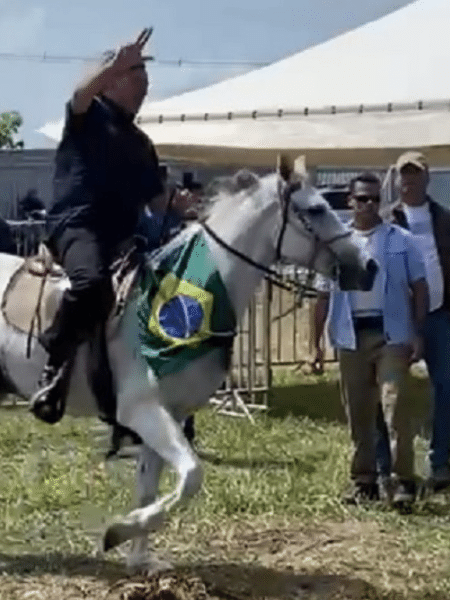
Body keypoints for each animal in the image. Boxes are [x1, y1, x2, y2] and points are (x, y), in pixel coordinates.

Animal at [0, 170, 376, 572]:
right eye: (316, 209)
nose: (370, 266)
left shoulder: (170, 414)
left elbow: (149, 487)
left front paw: (140, 557)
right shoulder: (144, 411)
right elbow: (192, 476)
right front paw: (118, 532)